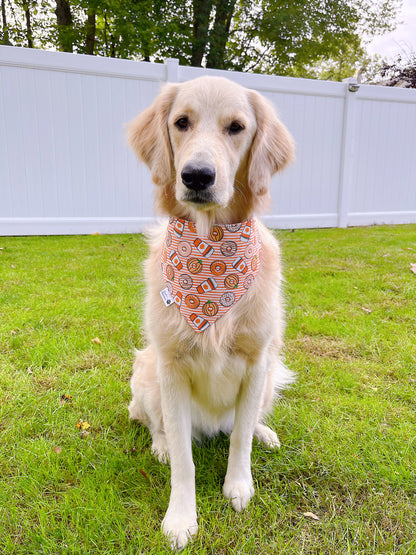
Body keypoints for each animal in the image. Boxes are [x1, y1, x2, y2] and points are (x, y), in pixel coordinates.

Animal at [128, 76, 294, 548]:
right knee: (155, 424)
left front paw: (238, 485)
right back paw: (161, 445)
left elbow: (239, 440)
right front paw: (181, 517)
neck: (211, 249)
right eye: (182, 122)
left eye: (236, 127)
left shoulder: (257, 362)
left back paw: (263, 431)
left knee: (244, 423)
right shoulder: (171, 367)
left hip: (270, 378)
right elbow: (186, 462)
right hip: (147, 374)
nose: (197, 175)